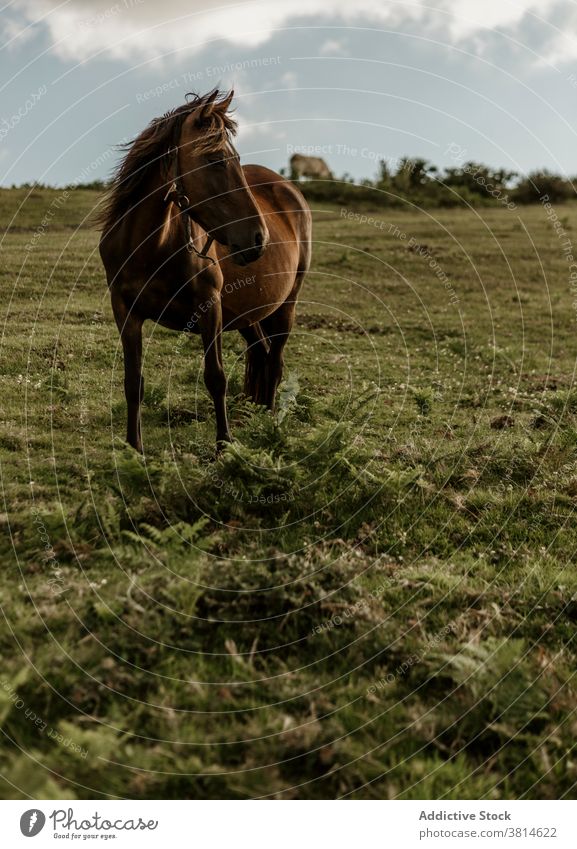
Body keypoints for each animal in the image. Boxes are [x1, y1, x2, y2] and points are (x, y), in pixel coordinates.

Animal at [97, 88, 310, 450]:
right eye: (216, 160)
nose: (259, 238)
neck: (152, 250)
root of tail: (288, 188)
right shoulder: (125, 312)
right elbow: (133, 381)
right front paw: (133, 448)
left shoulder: (210, 309)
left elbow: (216, 377)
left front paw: (224, 445)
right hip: (246, 314)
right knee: (262, 353)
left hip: (285, 306)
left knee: (275, 362)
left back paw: (269, 422)